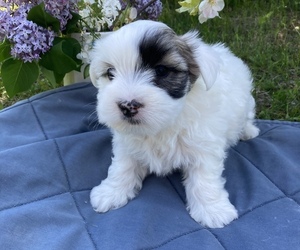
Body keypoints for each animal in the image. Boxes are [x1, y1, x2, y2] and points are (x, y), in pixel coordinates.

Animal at [88, 20, 258, 229]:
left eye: (161, 70)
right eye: (110, 73)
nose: (127, 106)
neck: (163, 126)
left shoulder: (204, 146)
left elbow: (204, 178)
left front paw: (212, 210)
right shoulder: (127, 144)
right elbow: (122, 166)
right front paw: (111, 191)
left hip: (247, 104)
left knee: (247, 117)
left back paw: (248, 131)